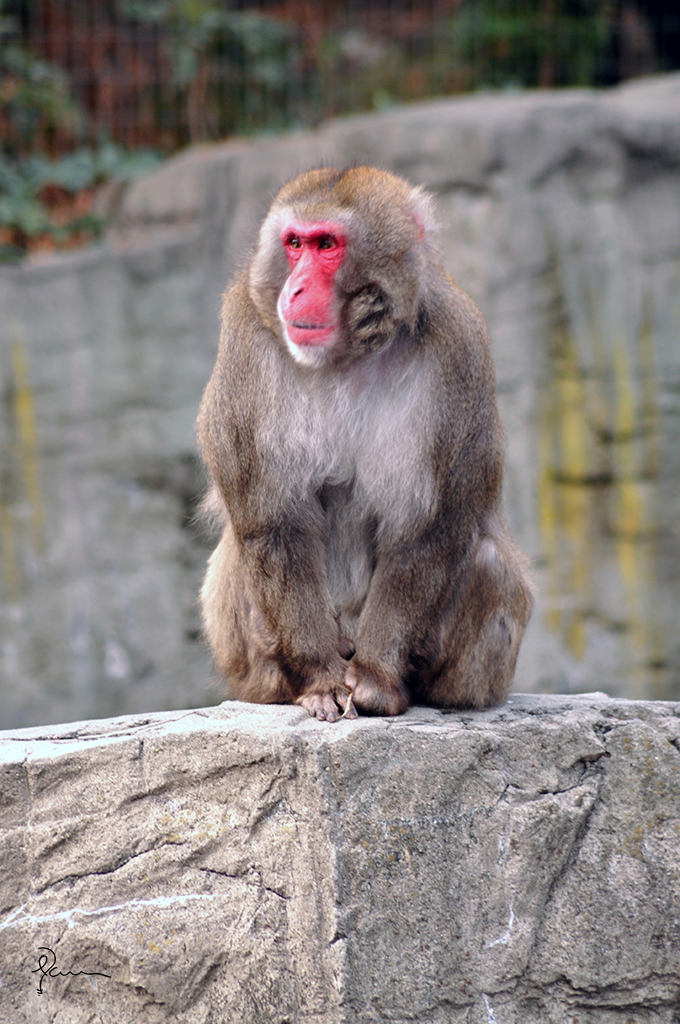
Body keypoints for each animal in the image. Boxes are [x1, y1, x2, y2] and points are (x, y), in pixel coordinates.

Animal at [196, 165, 536, 720]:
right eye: (294, 244)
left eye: (326, 245)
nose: (294, 289)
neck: (347, 357)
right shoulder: (245, 338)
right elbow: (276, 526)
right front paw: (320, 679)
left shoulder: (459, 344)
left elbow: (426, 529)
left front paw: (376, 678)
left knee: (486, 561)